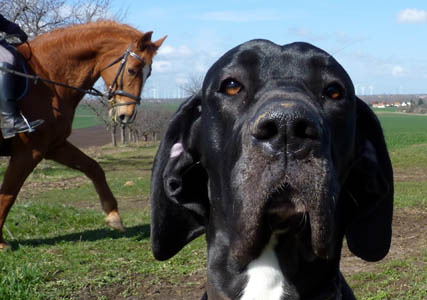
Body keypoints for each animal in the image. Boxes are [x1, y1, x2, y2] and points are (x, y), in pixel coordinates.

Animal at [0, 21, 167, 250]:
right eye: (132, 70)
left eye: (148, 74)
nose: (126, 116)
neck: (45, 77)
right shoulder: (29, 151)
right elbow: (8, 194)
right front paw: (0, 243)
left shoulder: (53, 146)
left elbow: (93, 168)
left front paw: (114, 216)